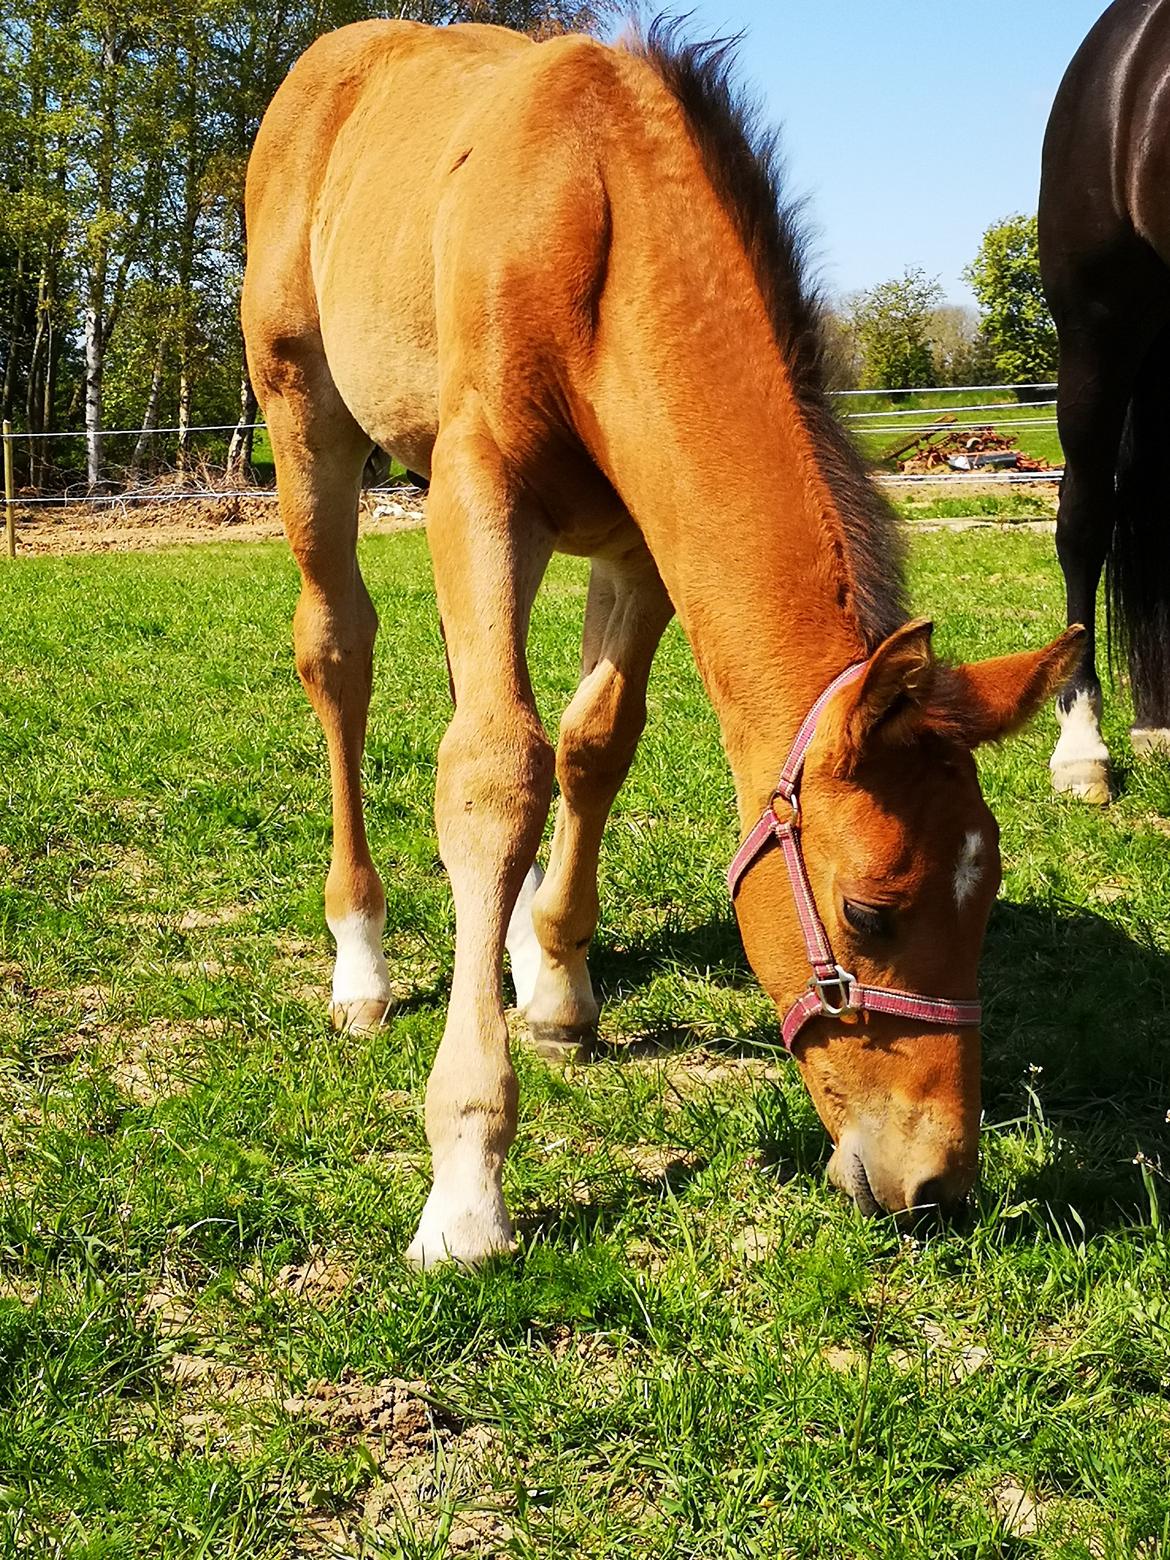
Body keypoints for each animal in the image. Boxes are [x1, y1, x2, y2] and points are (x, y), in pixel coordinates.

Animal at [243, 21, 1085, 1266]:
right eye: (870, 911)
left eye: (987, 901)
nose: (938, 1184)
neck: (597, 223)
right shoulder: (479, 488)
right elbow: (492, 771)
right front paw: (465, 1185)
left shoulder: (640, 538)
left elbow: (591, 744)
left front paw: (555, 981)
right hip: (309, 421)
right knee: (341, 658)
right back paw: (363, 958)